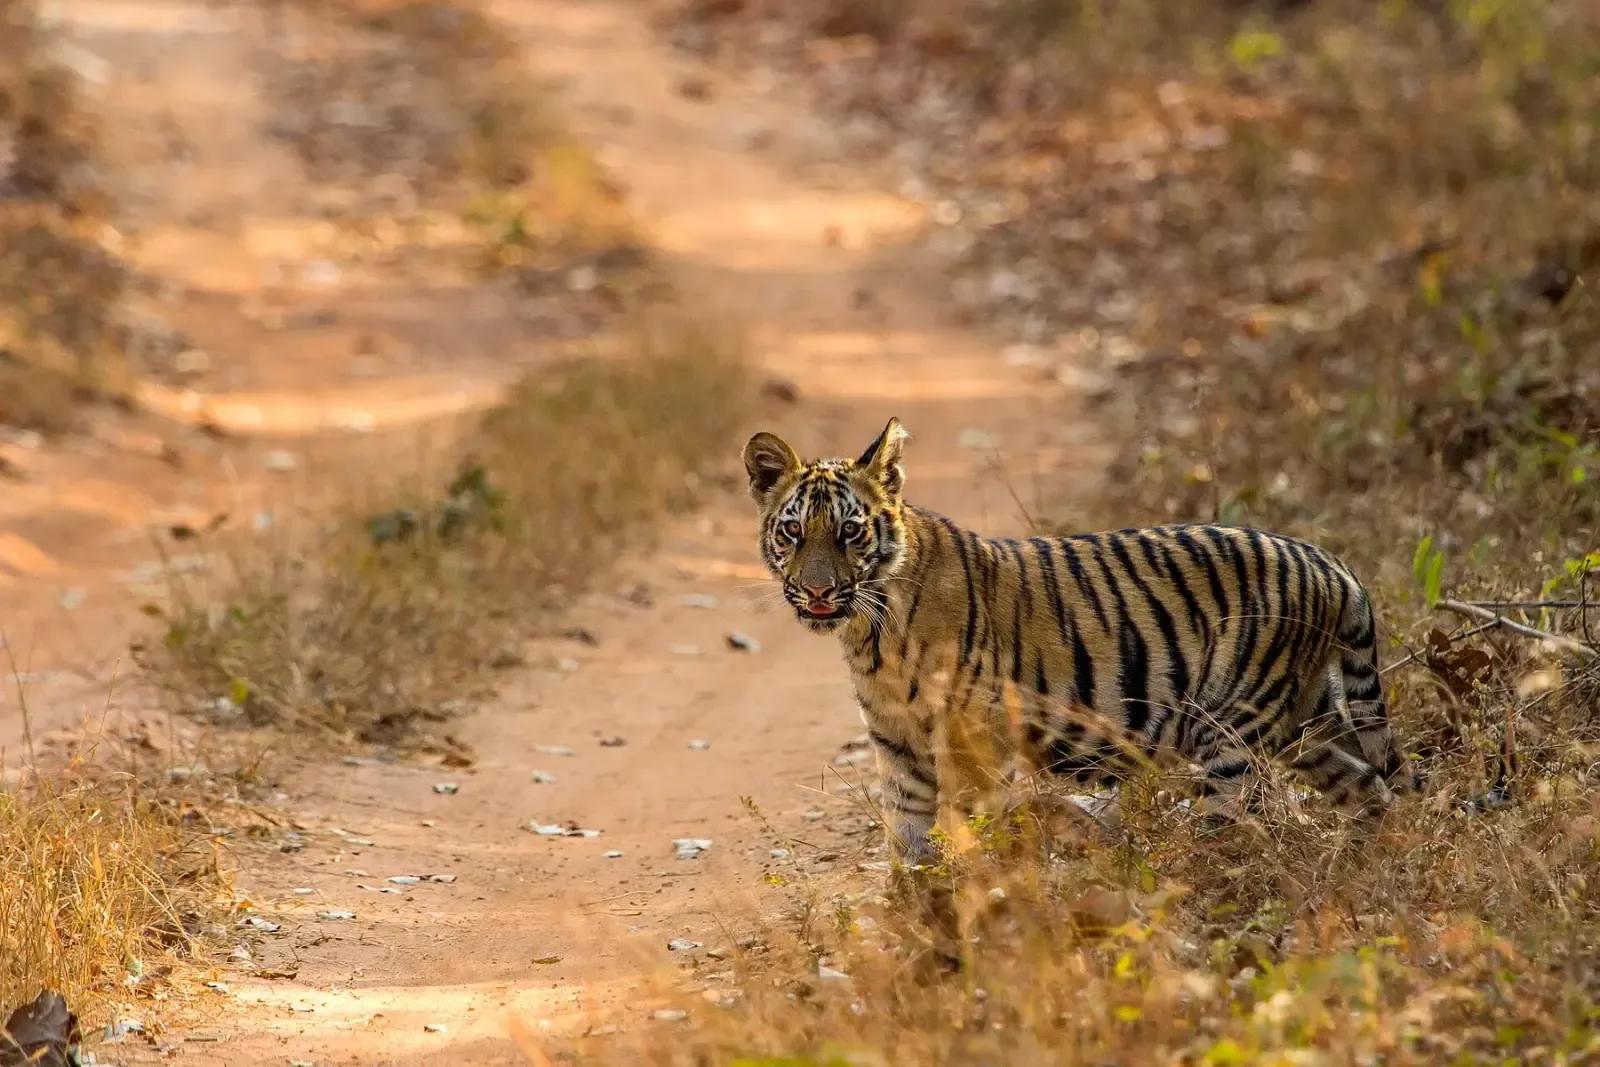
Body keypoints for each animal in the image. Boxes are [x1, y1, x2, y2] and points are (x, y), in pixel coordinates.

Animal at [742, 416, 1412, 869]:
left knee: (1234, 820)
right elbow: (907, 839)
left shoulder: (966, 736)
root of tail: (1329, 561)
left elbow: (963, 824)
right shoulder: (896, 742)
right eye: (793, 532)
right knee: (1366, 782)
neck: (870, 633)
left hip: (1230, 727)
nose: (818, 591)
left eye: (850, 533)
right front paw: (916, 915)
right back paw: (1365, 860)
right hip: (1303, 719)